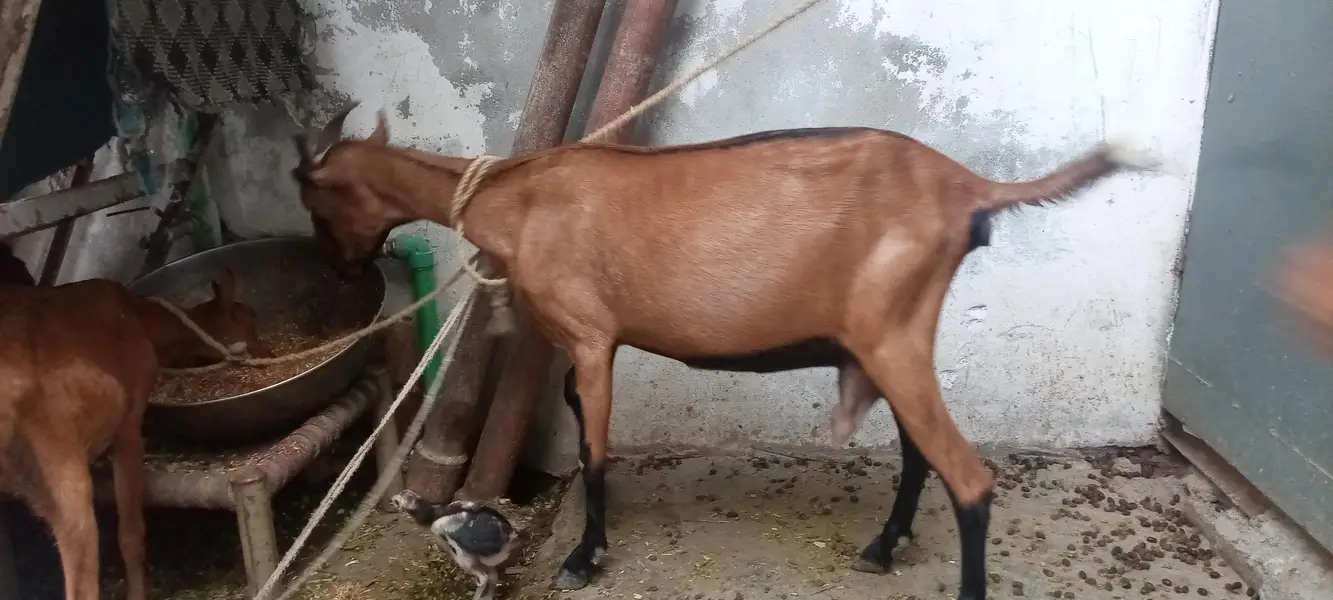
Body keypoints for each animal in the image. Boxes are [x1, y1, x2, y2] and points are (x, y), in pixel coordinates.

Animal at [0, 269, 271, 600]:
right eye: (249, 318)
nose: (270, 354)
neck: (142, 322)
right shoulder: (128, 421)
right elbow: (132, 536)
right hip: (64, 474)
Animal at [290, 105, 1152, 600]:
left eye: (312, 196)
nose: (342, 272)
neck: (517, 199)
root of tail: (967, 186)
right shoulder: (584, 344)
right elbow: (575, 412)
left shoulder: (591, 334)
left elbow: (593, 443)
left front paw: (584, 556)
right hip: (891, 342)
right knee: (920, 453)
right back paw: (882, 546)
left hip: (890, 336)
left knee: (969, 477)